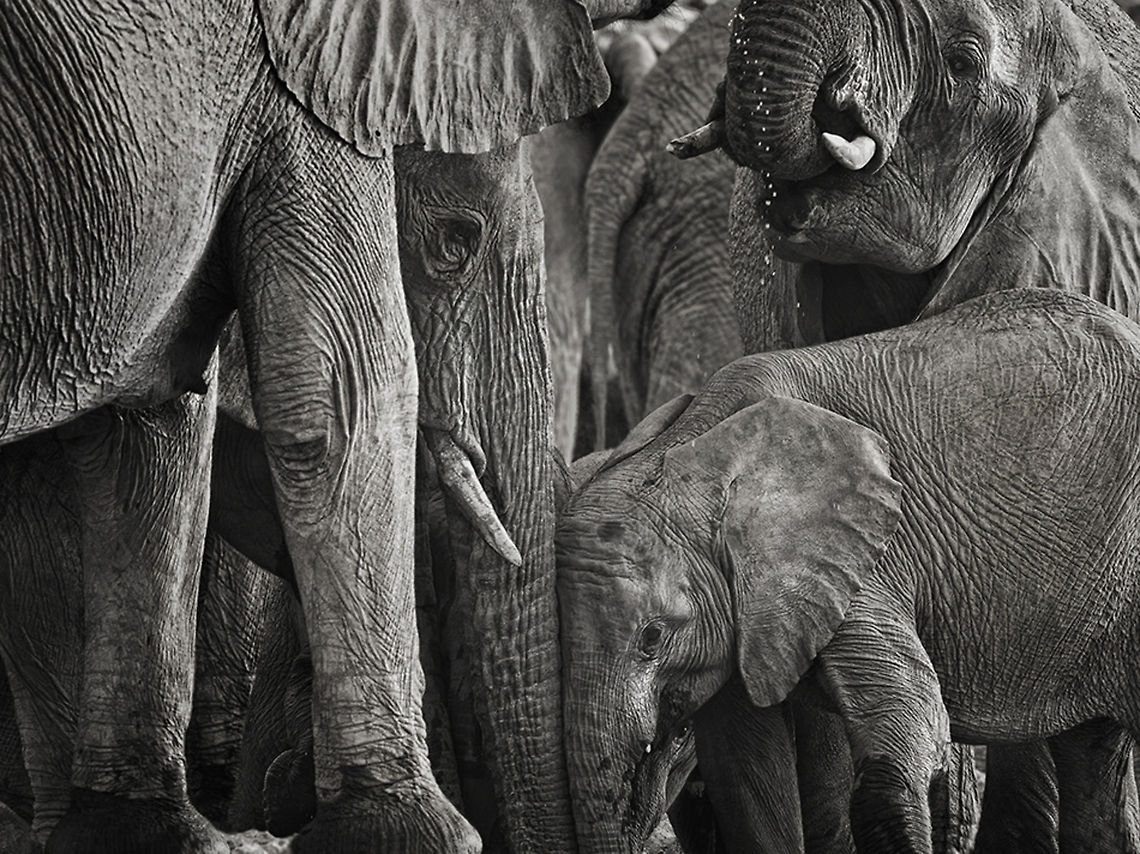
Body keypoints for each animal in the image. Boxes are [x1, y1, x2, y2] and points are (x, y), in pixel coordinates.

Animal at [556, 288, 1140, 854]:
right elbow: (746, 779)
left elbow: (910, 727)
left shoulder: (863, 557)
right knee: (1094, 754)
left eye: (652, 638)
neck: (690, 445)